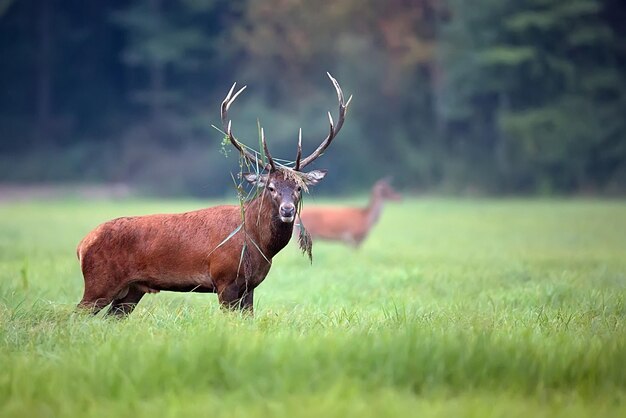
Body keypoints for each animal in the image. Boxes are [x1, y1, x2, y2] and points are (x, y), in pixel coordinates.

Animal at [75, 73, 348, 316]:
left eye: (299, 188)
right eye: (271, 188)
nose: (288, 210)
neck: (258, 245)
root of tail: (82, 244)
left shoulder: (249, 286)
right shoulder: (224, 280)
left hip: (131, 291)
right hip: (100, 282)